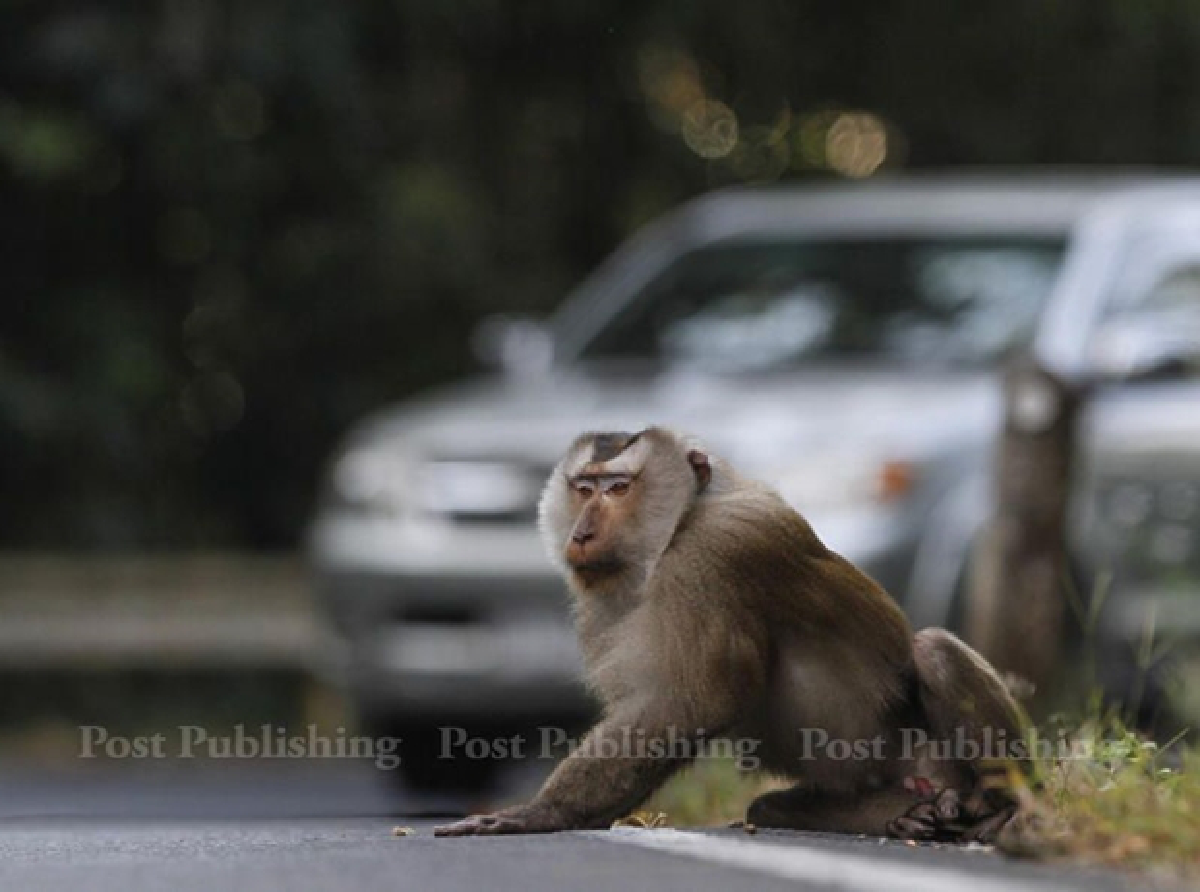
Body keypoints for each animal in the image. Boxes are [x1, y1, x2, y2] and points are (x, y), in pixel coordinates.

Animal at [434, 427, 1024, 841]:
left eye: (618, 488)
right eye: (583, 489)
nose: (581, 533)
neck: (678, 528)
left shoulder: (716, 556)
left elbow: (693, 701)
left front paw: (546, 812)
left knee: (934, 650)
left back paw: (1005, 807)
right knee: (771, 805)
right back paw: (901, 815)